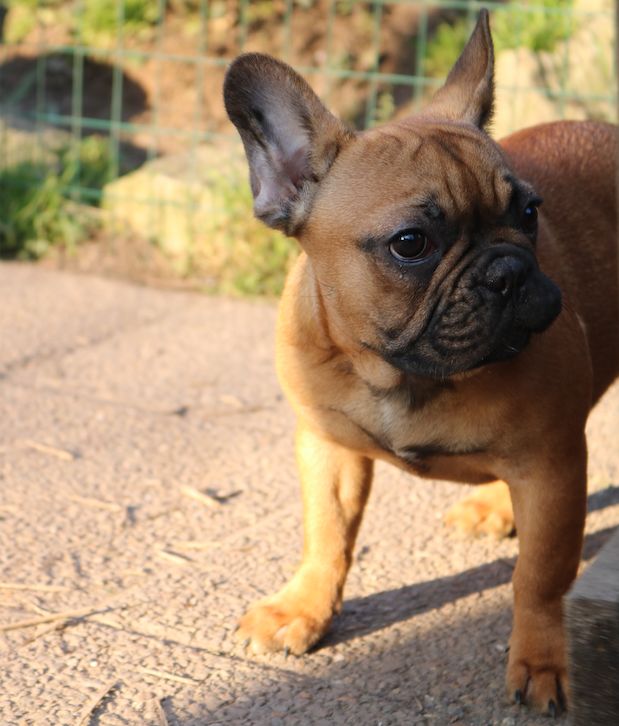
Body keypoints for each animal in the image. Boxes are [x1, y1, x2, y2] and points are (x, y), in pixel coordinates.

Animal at [225, 9, 616, 716]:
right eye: (411, 244)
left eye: (529, 212)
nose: (508, 271)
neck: (401, 374)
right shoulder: (327, 447)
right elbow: (327, 535)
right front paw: (303, 609)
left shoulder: (553, 465)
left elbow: (542, 577)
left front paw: (545, 661)